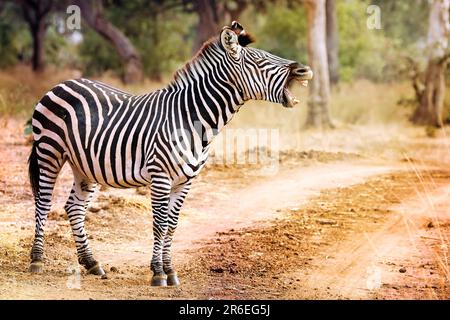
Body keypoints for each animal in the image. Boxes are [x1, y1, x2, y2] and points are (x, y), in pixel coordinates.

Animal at [26, 21, 312, 286]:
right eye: (260, 60)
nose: (305, 70)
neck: (193, 120)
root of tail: (62, 83)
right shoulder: (160, 176)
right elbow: (160, 223)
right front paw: (158, 273)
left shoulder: (186, 181)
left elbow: (172, 225)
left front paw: (170, 270)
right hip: (50, 151)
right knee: (44, 202)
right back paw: (37, 260)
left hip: (84, 164)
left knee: (74, 207)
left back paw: (92, 263)